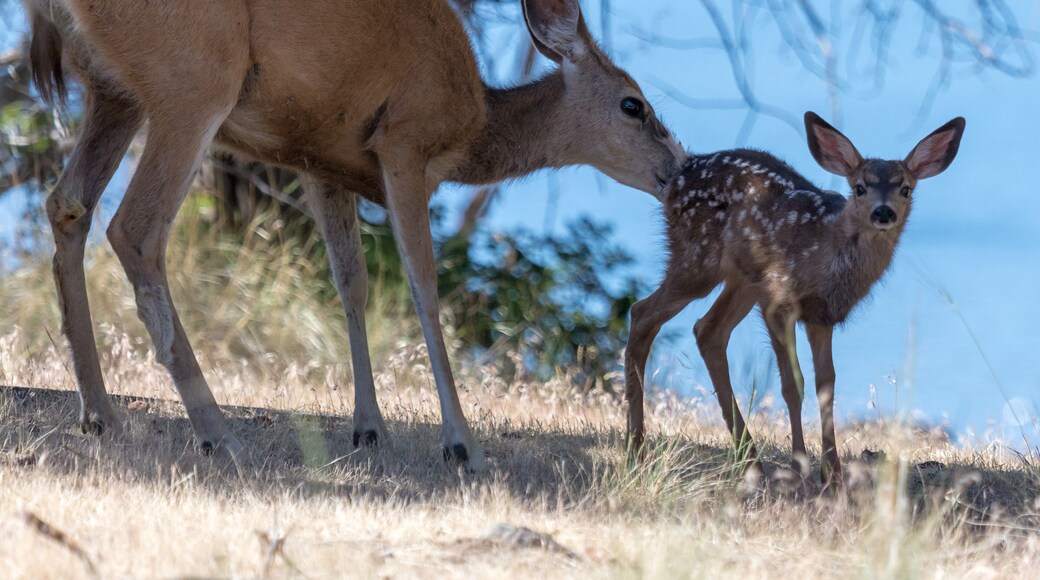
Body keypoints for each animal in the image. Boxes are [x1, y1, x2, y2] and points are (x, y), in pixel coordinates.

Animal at [24, 0, 685, 471]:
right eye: (634, 105)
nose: (678, 168)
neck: (472, 129)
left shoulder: (320, 162)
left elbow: (352, 283)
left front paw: (368, 429)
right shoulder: (405, 142)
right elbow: (423, 288)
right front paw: (461, 444)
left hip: (115, 90)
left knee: (68, 206)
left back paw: (101, 413)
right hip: (195, 78)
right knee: (134, 228)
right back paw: (215, 432)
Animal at [625, 112, 965, 485]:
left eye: (905, 188)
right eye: (859, 187)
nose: (883, 213)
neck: (827, 253)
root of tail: (681, 170)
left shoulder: (822, 314)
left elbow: (826, 383)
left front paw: (833, 473)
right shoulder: (778, 299)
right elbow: (793, 383)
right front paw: (801, 466)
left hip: (742, 279)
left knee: (707, 330)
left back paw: (750, 461)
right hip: (698, 257)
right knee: (642, 312)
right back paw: (636, 449)